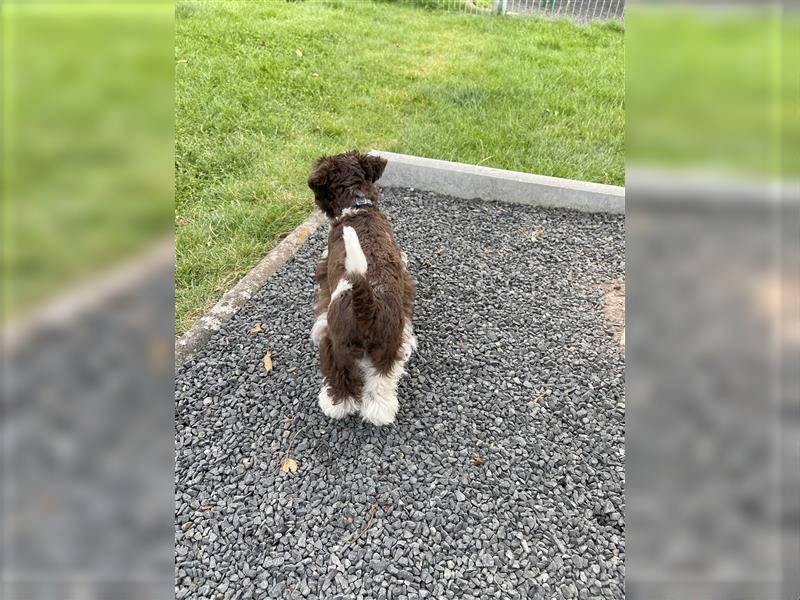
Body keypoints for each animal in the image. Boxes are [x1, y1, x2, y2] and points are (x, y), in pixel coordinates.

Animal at [308, 150, 416, 424]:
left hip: (338, 348)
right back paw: (380, 413)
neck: (357, 207)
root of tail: (367, 306)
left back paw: (333, 405)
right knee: (380, 387)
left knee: (340, 379)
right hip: (386, 350)